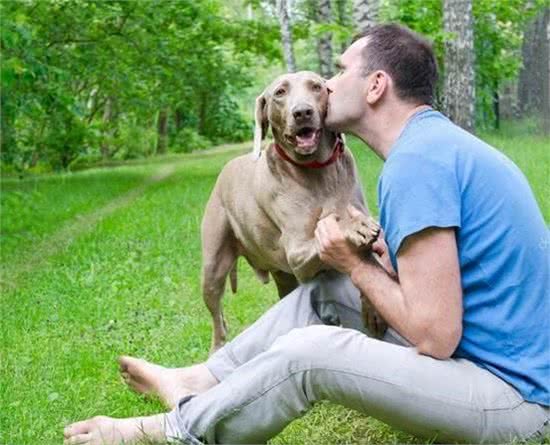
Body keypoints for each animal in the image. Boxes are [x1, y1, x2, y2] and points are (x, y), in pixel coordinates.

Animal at [202, 72, 384, 350]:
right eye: (280, 92)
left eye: (317, 87)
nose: (302, 112)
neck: (318, 171)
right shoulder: (298, 254)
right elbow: (335, 228)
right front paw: (354, 226)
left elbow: (370, 261)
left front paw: (373, 309)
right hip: (212, 268)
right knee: (218, 320)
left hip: (284, 277)